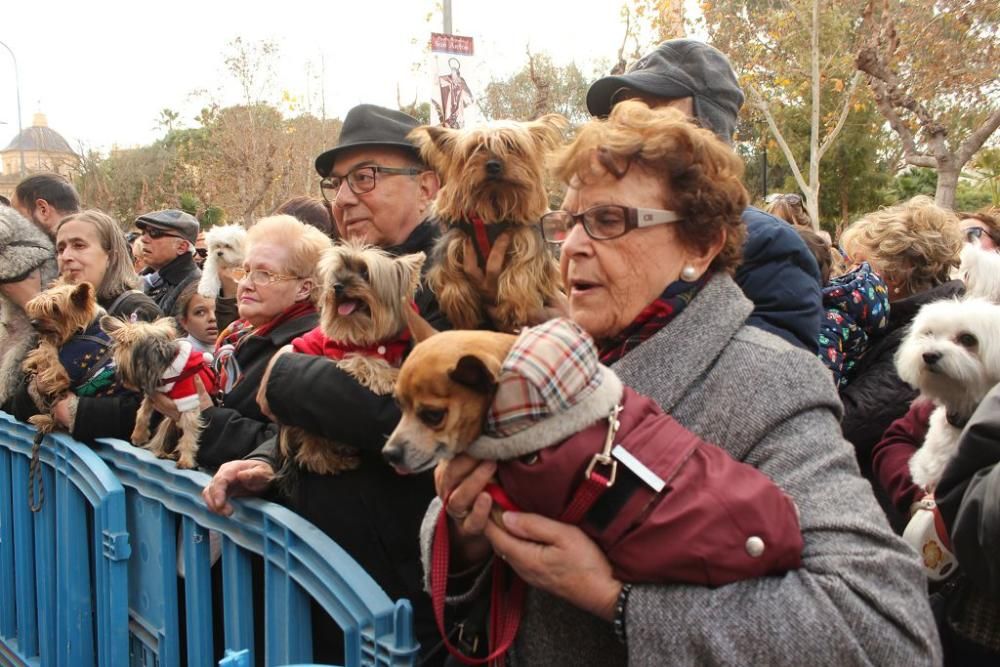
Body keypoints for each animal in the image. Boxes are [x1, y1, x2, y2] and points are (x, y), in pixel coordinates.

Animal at [101, 314, 217, 468]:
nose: (120, 378)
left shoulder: (189, 401)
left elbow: (189, 433)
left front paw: (185, 460)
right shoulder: (153, 395)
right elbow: (142, 413)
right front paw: (138, 435)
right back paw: (162, 452)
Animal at [274, 243, 426, 478]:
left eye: (365, 273)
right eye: (338, 273)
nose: (336, 286)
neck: (368, 333)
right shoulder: (338, 351)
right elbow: (365, 360)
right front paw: (390, 377)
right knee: (311, 451)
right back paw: (337, 461)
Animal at [404, 117, 564, 334]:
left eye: (511, 145)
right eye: (474, 148)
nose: (494, 165)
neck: (492, 204)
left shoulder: (528, 240)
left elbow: (522, 269)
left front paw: (513, 307)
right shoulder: (454, 240)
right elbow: (449, 277)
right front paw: (462, 311)